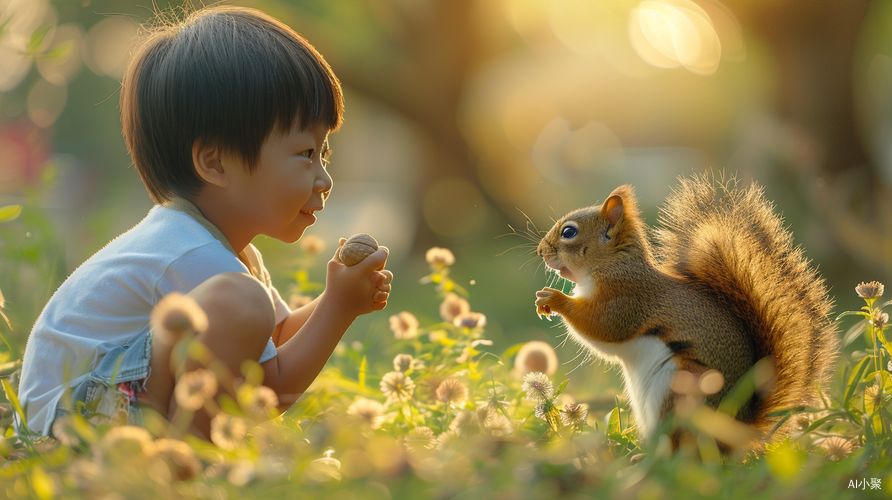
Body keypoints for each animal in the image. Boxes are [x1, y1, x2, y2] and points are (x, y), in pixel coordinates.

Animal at [532, 174, 840, 448]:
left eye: (569, 232)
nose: (540, 251)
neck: (612, 267)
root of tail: (736, 429)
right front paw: (542, 301)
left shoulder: (628, 301)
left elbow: (601, 326)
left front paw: (555, 299)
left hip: (682, 394)